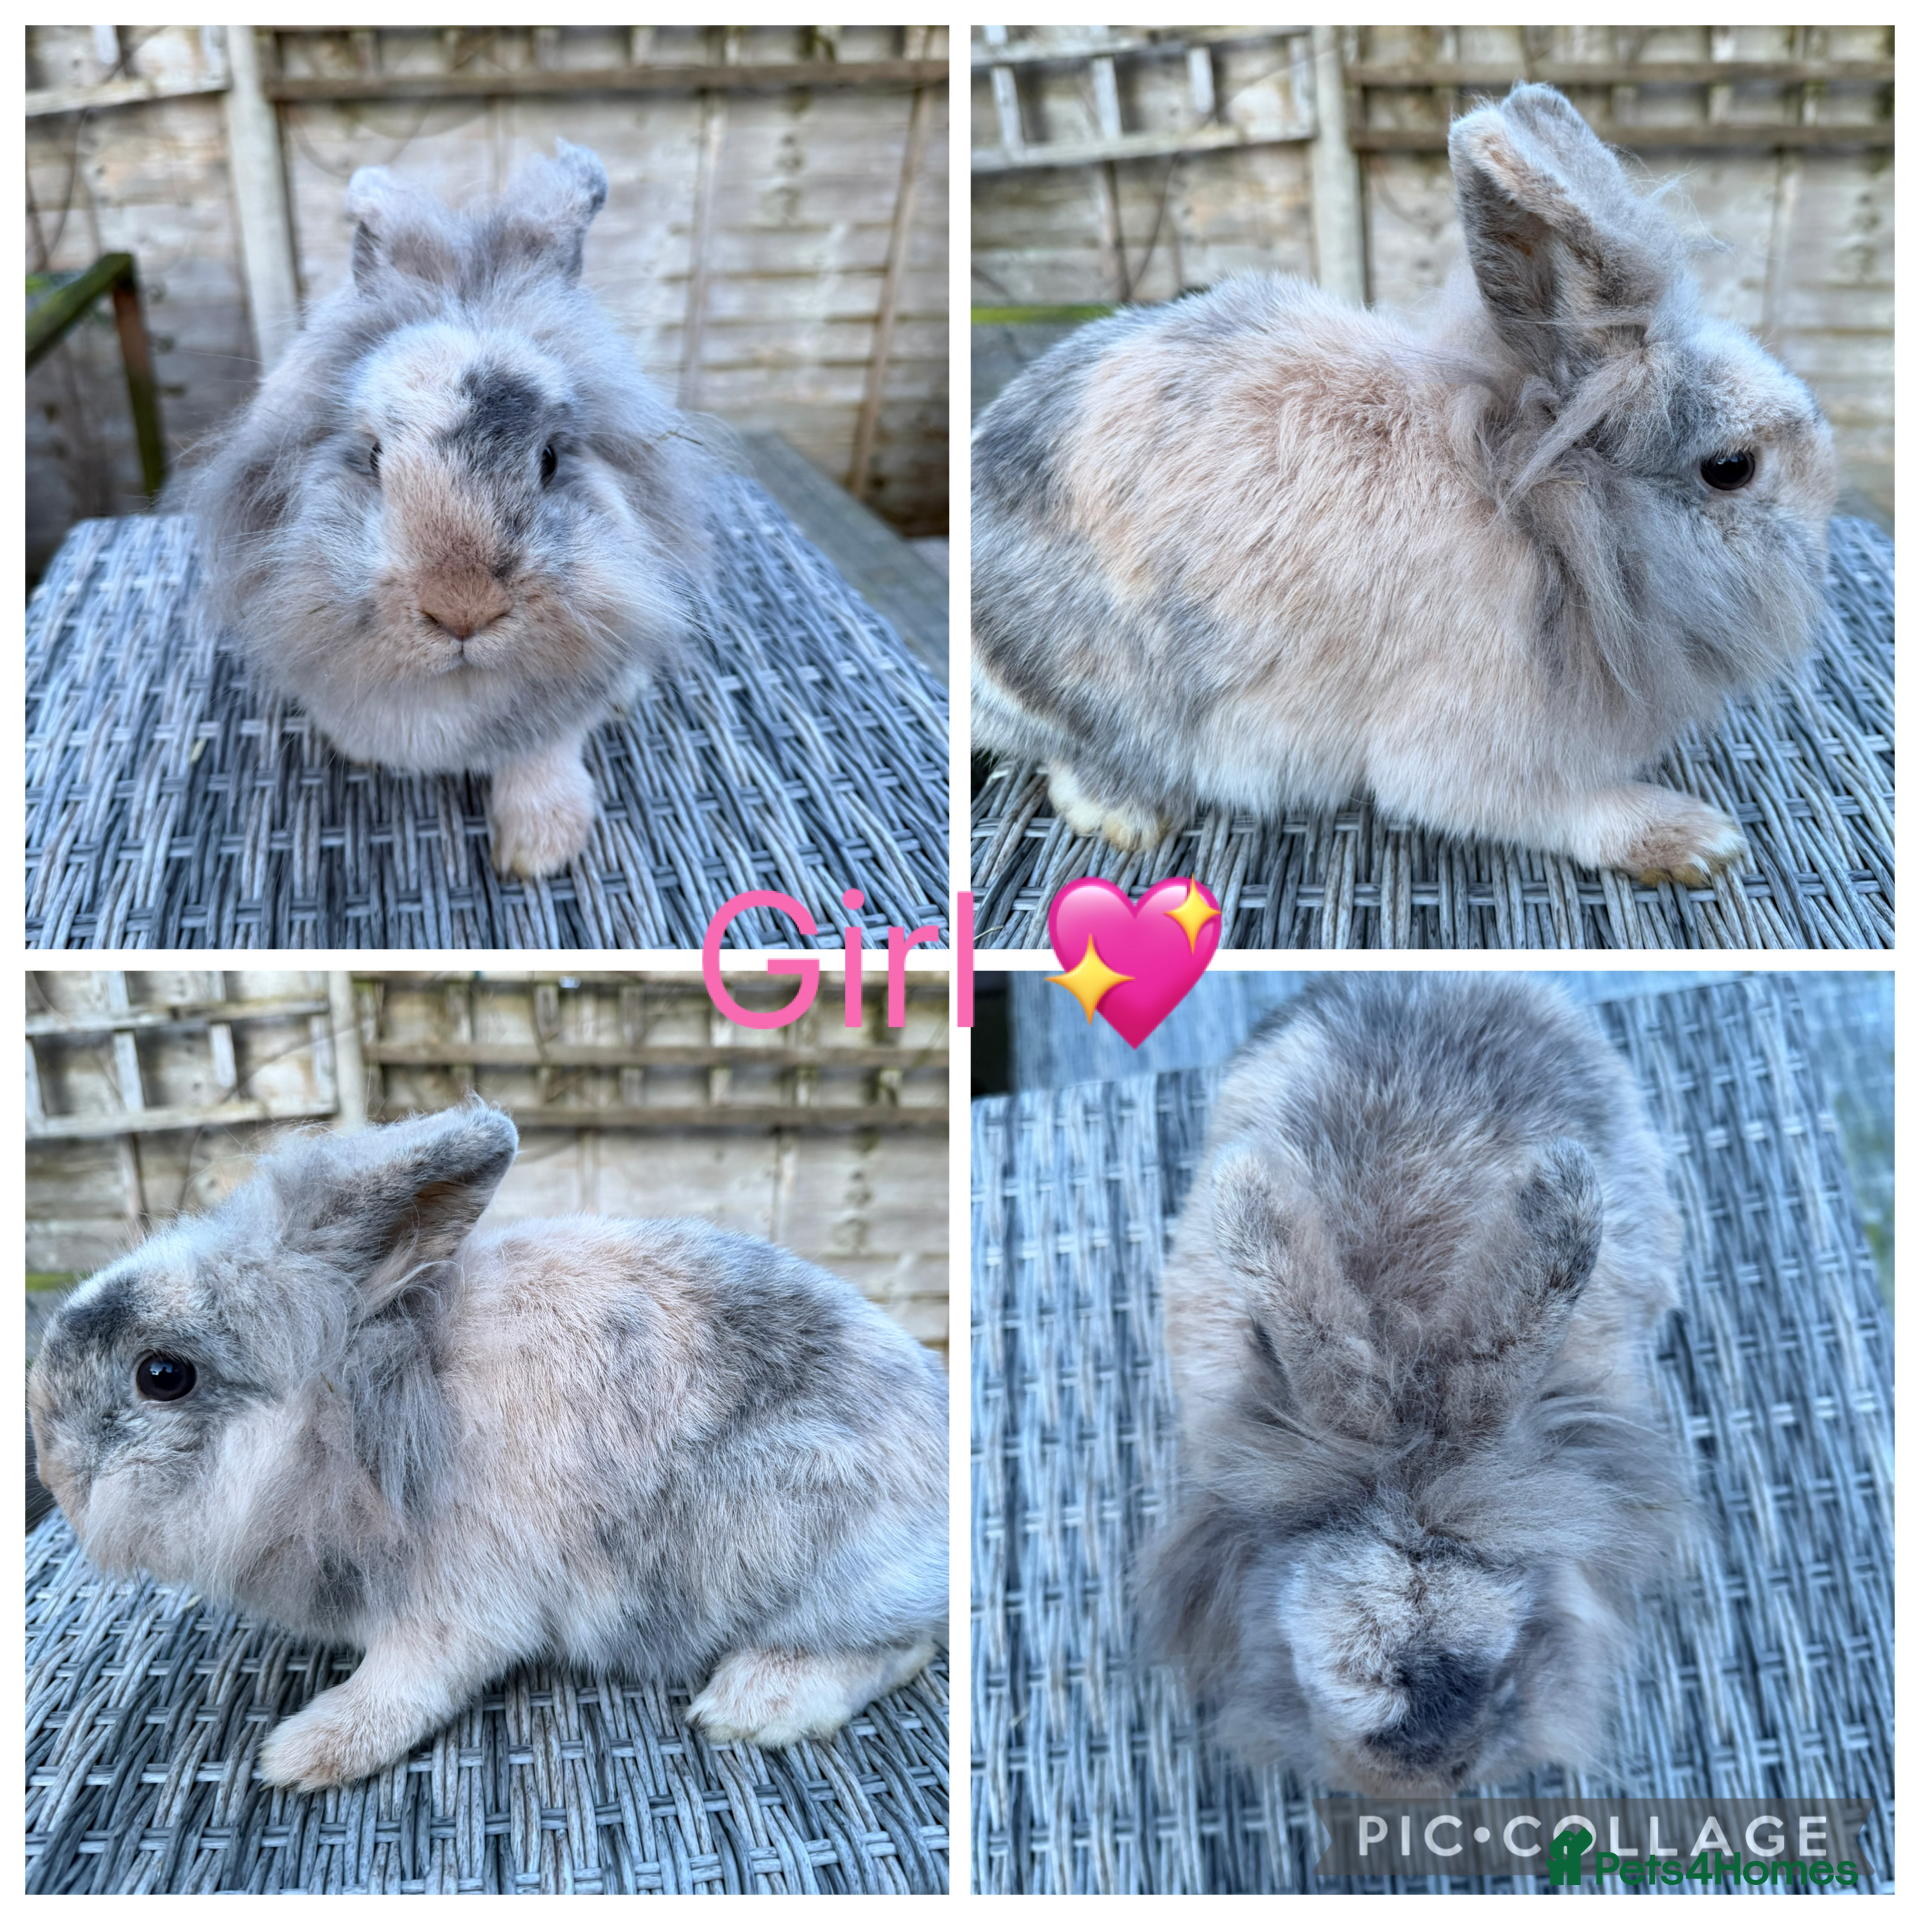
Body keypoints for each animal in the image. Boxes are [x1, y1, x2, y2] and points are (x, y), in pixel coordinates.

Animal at [28, 1104, 948, 1793]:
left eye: (163, 1375)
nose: (52, 1475)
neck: (359, 1417)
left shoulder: (454, 1607)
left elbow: (402, 1686)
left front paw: (301, 1756)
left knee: (901, 1645)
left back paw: (752, 1704)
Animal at [972, 84, 1837, 885]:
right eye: (1732, 469)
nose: (1824, 527)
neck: (1548, 517)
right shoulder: (1469, 747)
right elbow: (1560, 808)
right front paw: (1698, 841)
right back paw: (1127, 814)